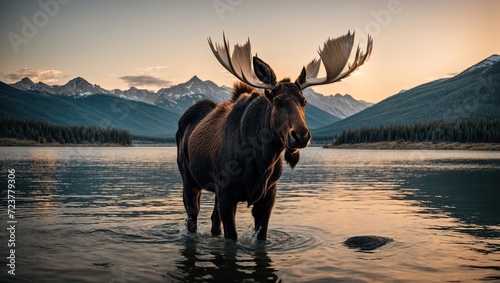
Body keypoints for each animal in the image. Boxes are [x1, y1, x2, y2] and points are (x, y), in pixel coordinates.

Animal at [176, 31, 372, 241]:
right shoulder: (227, 194)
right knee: (192, 218)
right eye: (277, 101)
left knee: (214, 221)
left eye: (304, 101)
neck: (261, 161)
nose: (301, 135)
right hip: (189, 180)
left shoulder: (268, 195)